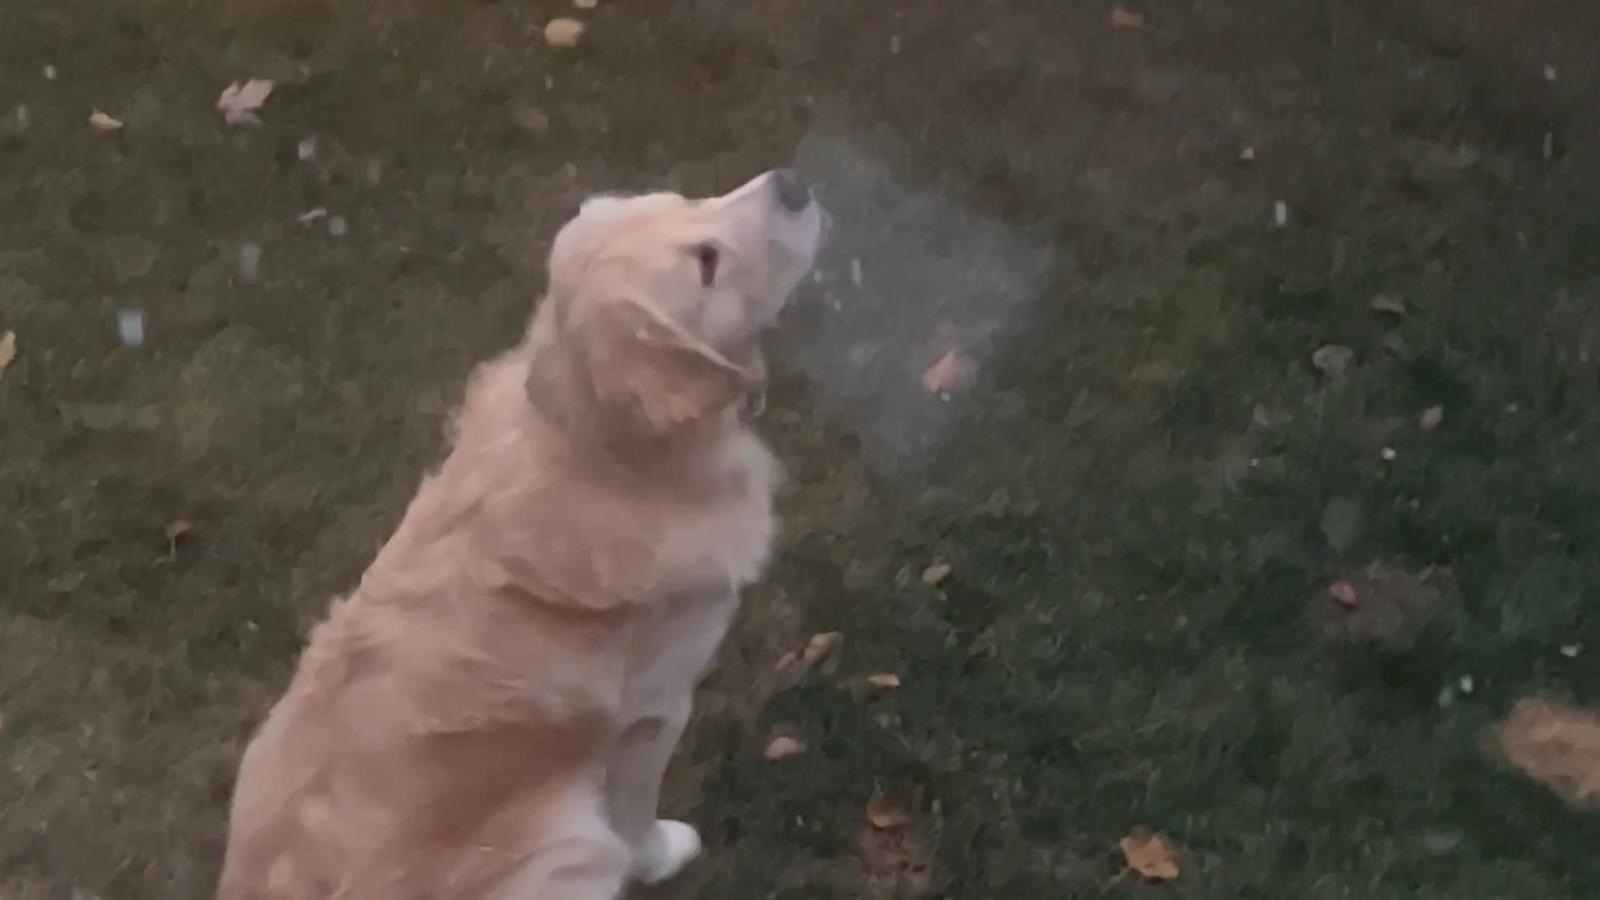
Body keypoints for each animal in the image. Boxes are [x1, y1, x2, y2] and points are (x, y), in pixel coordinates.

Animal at [216, 169, 825, 896]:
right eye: (706, 264)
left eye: (688, 200)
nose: (794, 184)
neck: (612, 459)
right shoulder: (654, 712)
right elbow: (636, 815)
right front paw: (663, 852)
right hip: (567, 838)